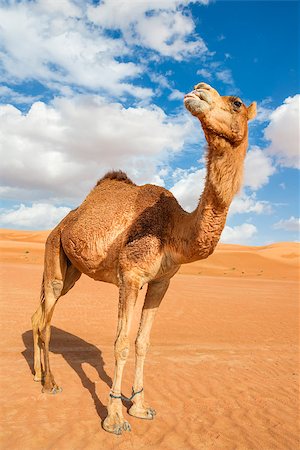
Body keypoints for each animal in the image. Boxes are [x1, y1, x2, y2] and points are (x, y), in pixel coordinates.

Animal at [31, 82, 255, 434]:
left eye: (236, 103)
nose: (198, 89)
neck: (174, 228)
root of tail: (60, 225)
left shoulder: (161, 282)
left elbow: (143, 342)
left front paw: (139, 405)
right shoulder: (131, 276)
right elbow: (121, 343)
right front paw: (114, 417)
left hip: (71, 271)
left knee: (38, 315)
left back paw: (39, 375)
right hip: (53, 253)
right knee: (46, 323)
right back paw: (50, 383)